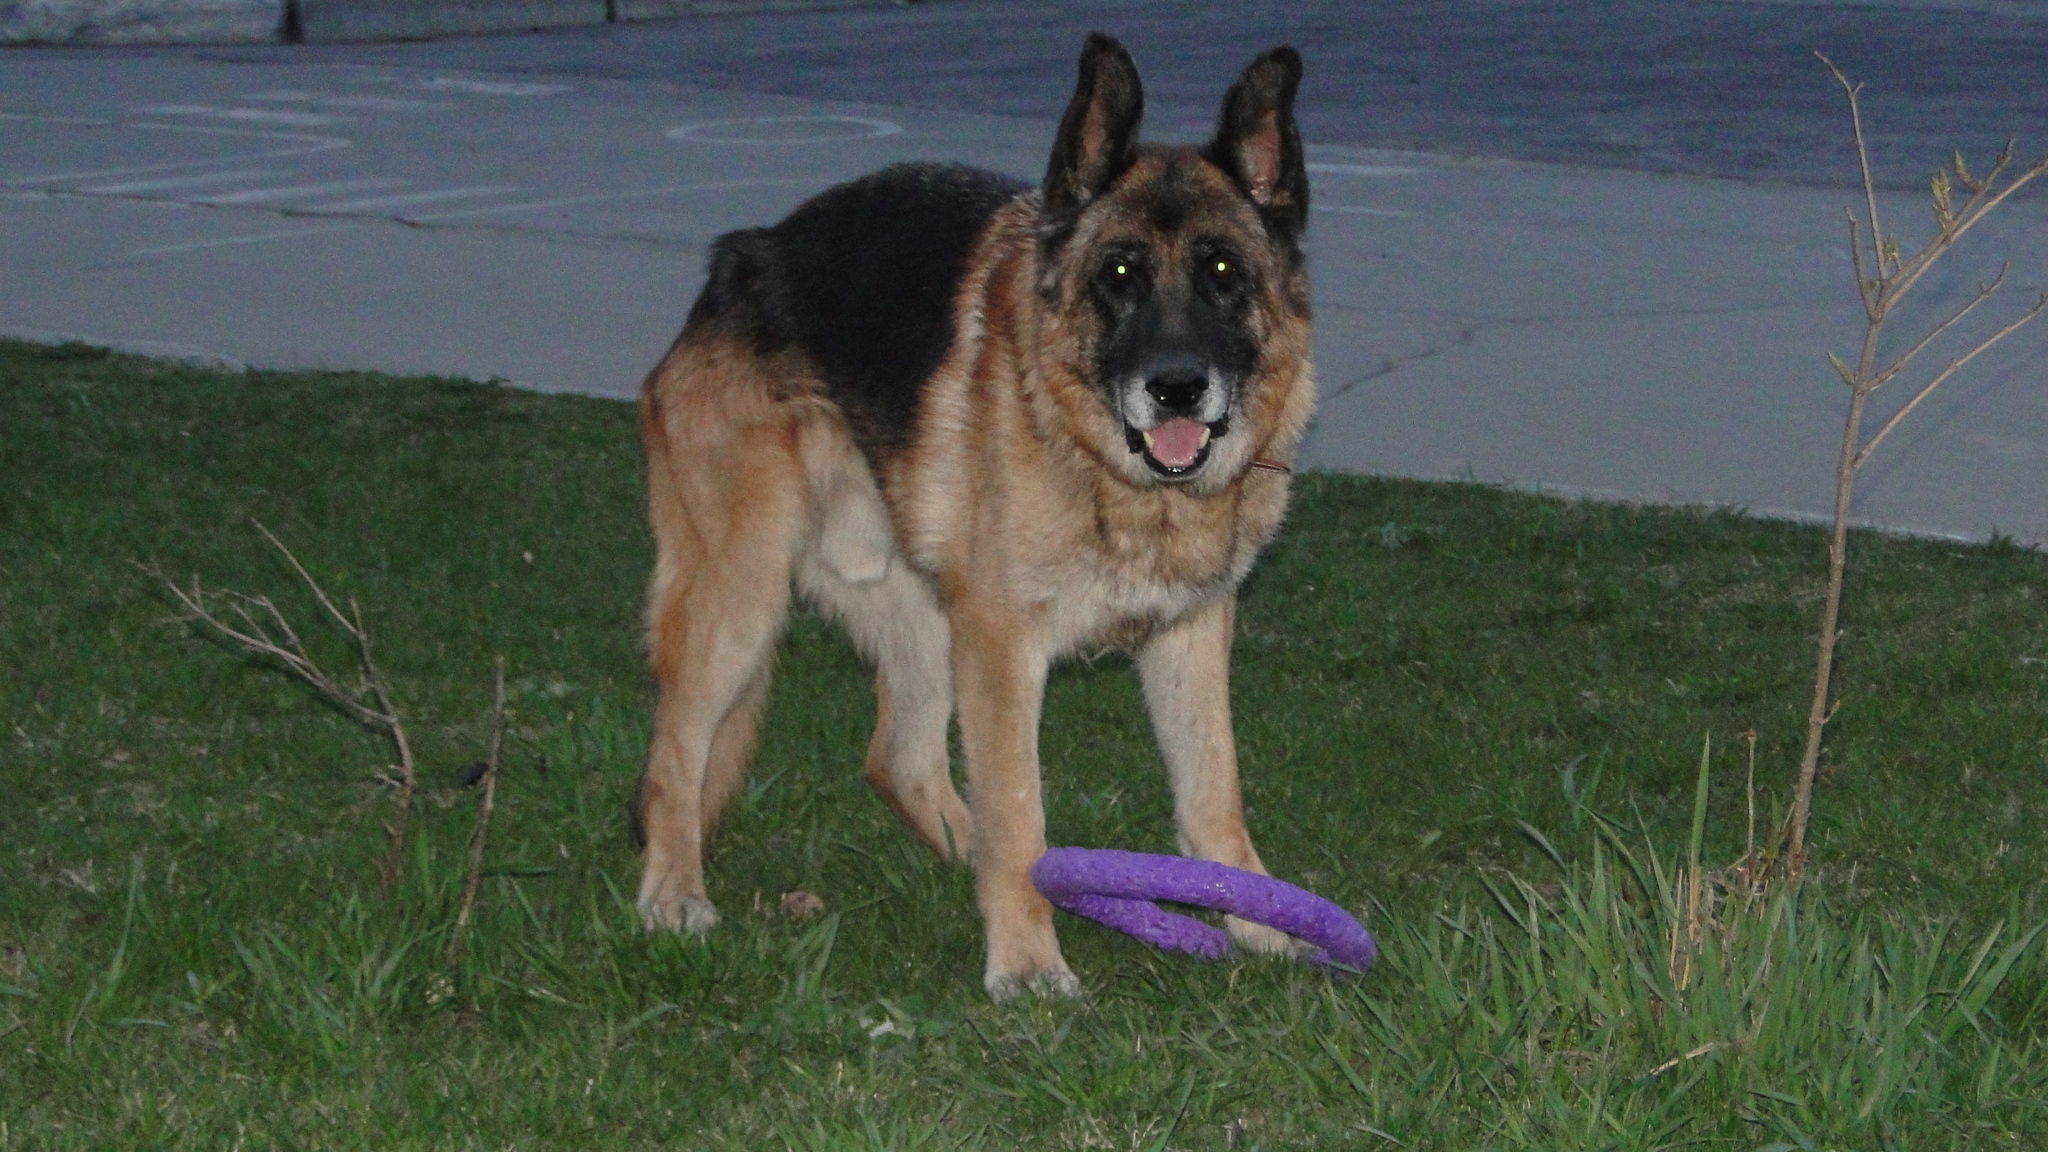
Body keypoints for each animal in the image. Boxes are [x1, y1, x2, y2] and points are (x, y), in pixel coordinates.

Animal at [630, 31, 1318, 992]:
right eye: (1118, 275)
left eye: (1223, 271)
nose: (1176, 388)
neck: (1098, 464)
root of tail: (741, 255)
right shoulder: (1002, 646)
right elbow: (1019, 807)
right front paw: (1027, 962)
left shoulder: (1188, 635)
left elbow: (1213, 792)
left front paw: (1256, 918)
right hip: (743, 595)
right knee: (674, 754)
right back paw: (672, 893)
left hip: (920, 607)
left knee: (899, 757)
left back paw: (966, 858)